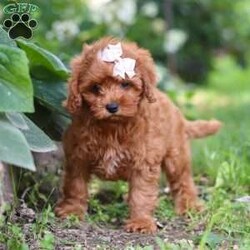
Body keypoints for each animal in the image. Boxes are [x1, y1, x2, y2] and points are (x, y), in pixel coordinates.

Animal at [55, 37, 221, 234]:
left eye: (125, 84)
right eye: (96, 88)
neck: (113, 127)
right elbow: (75, 185)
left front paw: (141, 221)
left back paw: (190, 205)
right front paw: (72, 210)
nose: (111, 107)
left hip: (176, 153)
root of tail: (175, 109)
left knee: (182, 179)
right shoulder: (78, 156)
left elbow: (141, 193)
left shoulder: (144, 162)